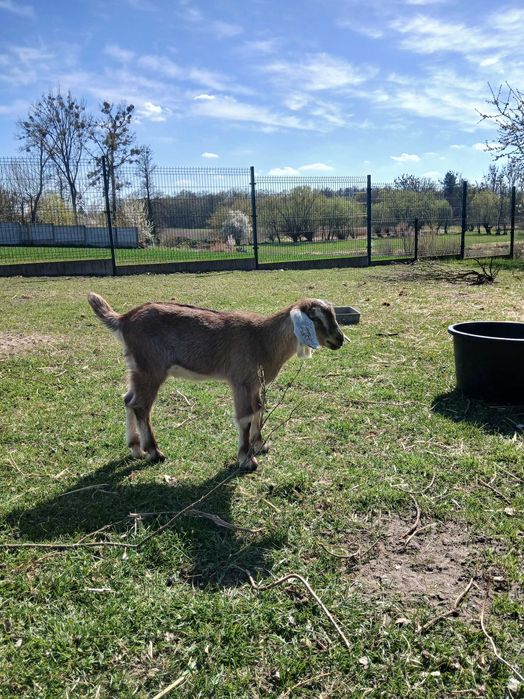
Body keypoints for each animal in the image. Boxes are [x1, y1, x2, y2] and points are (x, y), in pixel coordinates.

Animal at [87, 293, 345, 470]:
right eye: (316, 319)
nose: (339, 340)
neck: (263, 338)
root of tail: (123, 319)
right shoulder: (241, 381)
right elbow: (246, 416)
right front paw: (246, 460)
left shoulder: (255, 384)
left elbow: (259, 409)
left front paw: (260, 445)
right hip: (151, 368)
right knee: (141, 406)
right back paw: (154, 452)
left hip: (136, 368)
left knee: (128, 400)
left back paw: (135, 448)